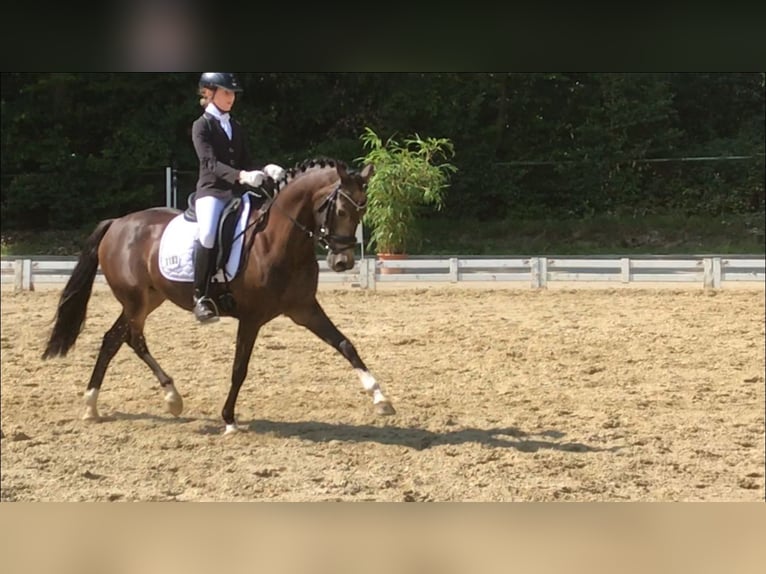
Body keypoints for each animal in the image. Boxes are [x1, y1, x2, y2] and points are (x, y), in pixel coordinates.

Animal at [43, 159, 396, 436]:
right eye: (340, 210)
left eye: (362, 209)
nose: (343, 262)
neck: (278, 240)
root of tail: (117, 222)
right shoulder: (251, 317)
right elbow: (239, 368)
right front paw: (228, 419)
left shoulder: (304, 309)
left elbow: (345, 344)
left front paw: (380, 398)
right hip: (135, 301)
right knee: (133, 339)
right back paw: (169, 398)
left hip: (148, 298)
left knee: (114, 339)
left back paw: (94, 405)